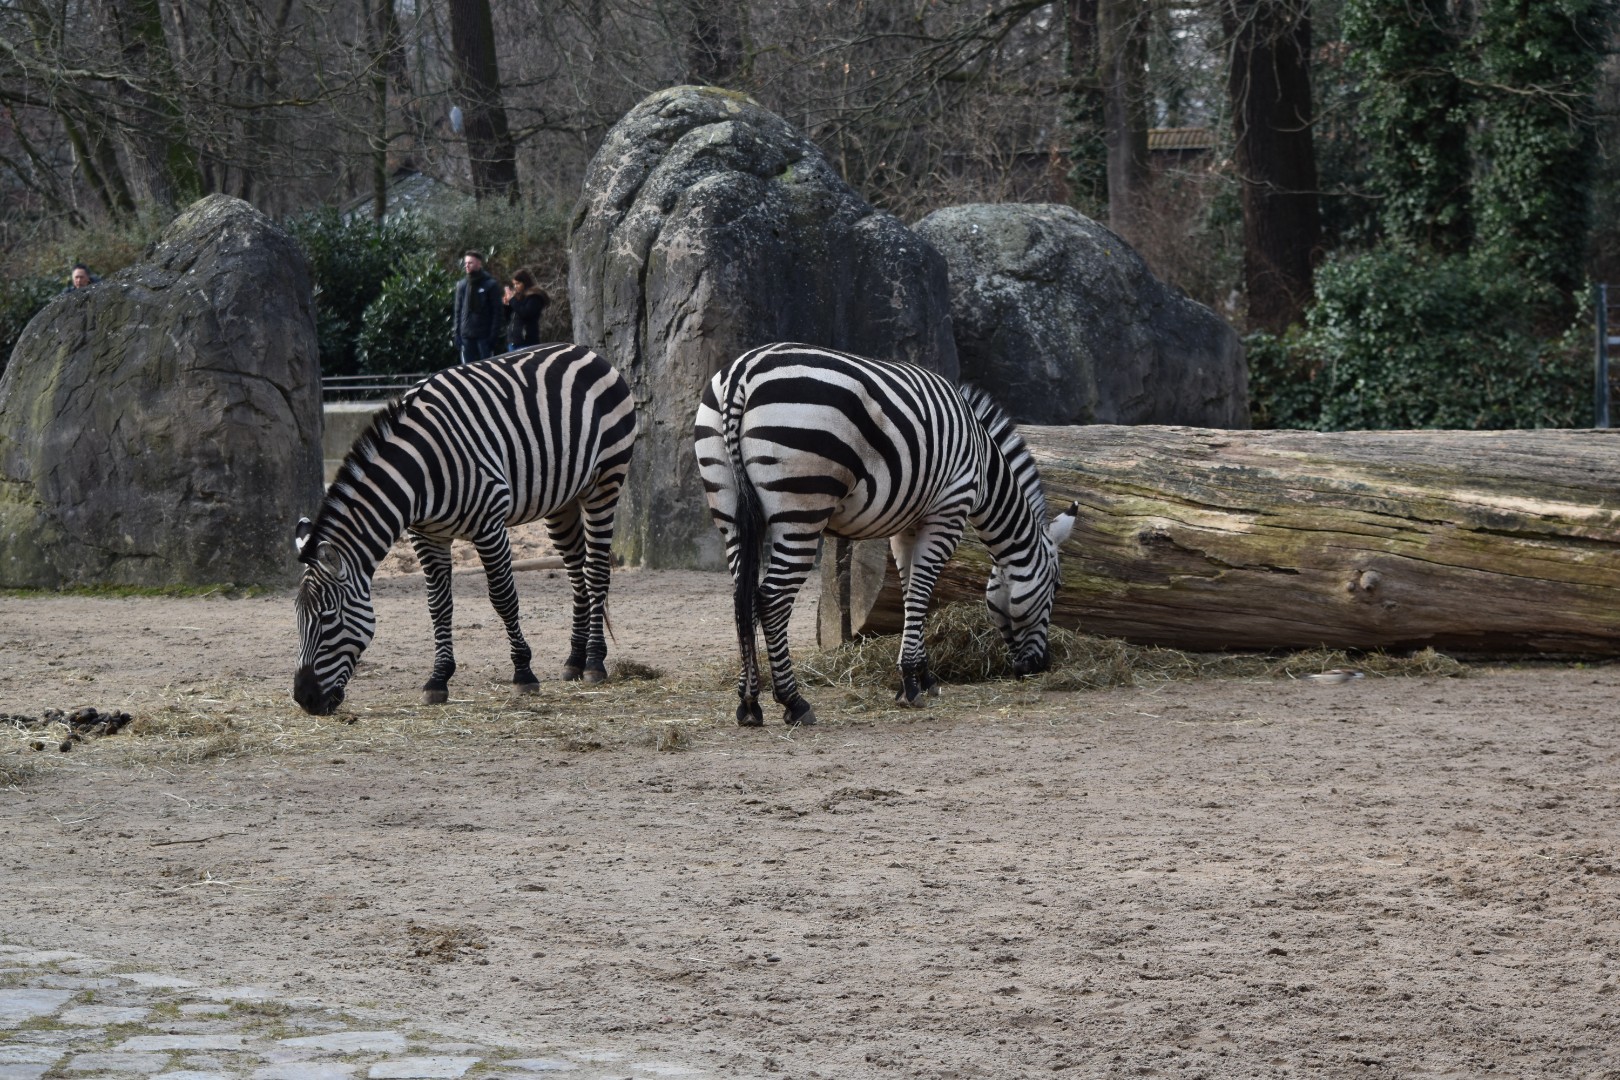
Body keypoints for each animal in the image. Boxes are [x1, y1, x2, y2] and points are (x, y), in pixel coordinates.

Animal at [292, 344, 638, 715]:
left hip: (605, 483)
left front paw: (524, 673)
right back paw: (574, 659)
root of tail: (585, 350)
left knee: (596, 571)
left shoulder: (490, 526)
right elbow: (438, 605)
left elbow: (503, 598)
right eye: (298, 619)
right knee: (576, 573)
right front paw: (438, 679)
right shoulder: (426, 535)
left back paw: (594, 662)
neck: (419, 473)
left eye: (328, 619)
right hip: (563, 502)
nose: (304, 698)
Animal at [693, 342, 1077, 728]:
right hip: (802, 506)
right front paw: (910, 684)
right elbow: (921, 593)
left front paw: (922, 677)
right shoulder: (949, 512)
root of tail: (743, 372)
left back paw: (748, 703)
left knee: (741, 599)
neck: (984, 464)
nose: (1040, 666)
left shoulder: (908, 527)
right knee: (771, 599)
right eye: (1056, 588)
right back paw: (794, 701)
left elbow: (910, 594)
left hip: (728, 507)